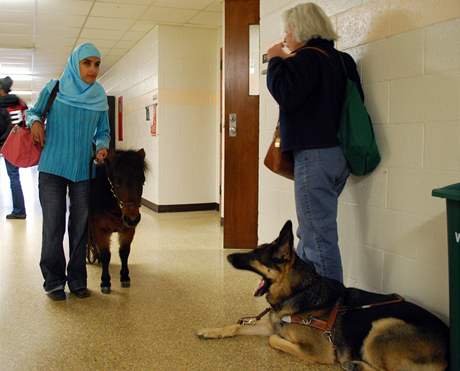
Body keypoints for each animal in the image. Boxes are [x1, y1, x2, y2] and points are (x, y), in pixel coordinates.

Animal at [199, 222, 450, 370]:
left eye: (255, 256)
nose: (229, 257)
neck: (299, 292)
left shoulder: (317, 350)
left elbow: (275, 340)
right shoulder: (270, 325)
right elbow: (236, 326)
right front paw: (212, 331)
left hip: (383, 325)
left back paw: (356, 365)